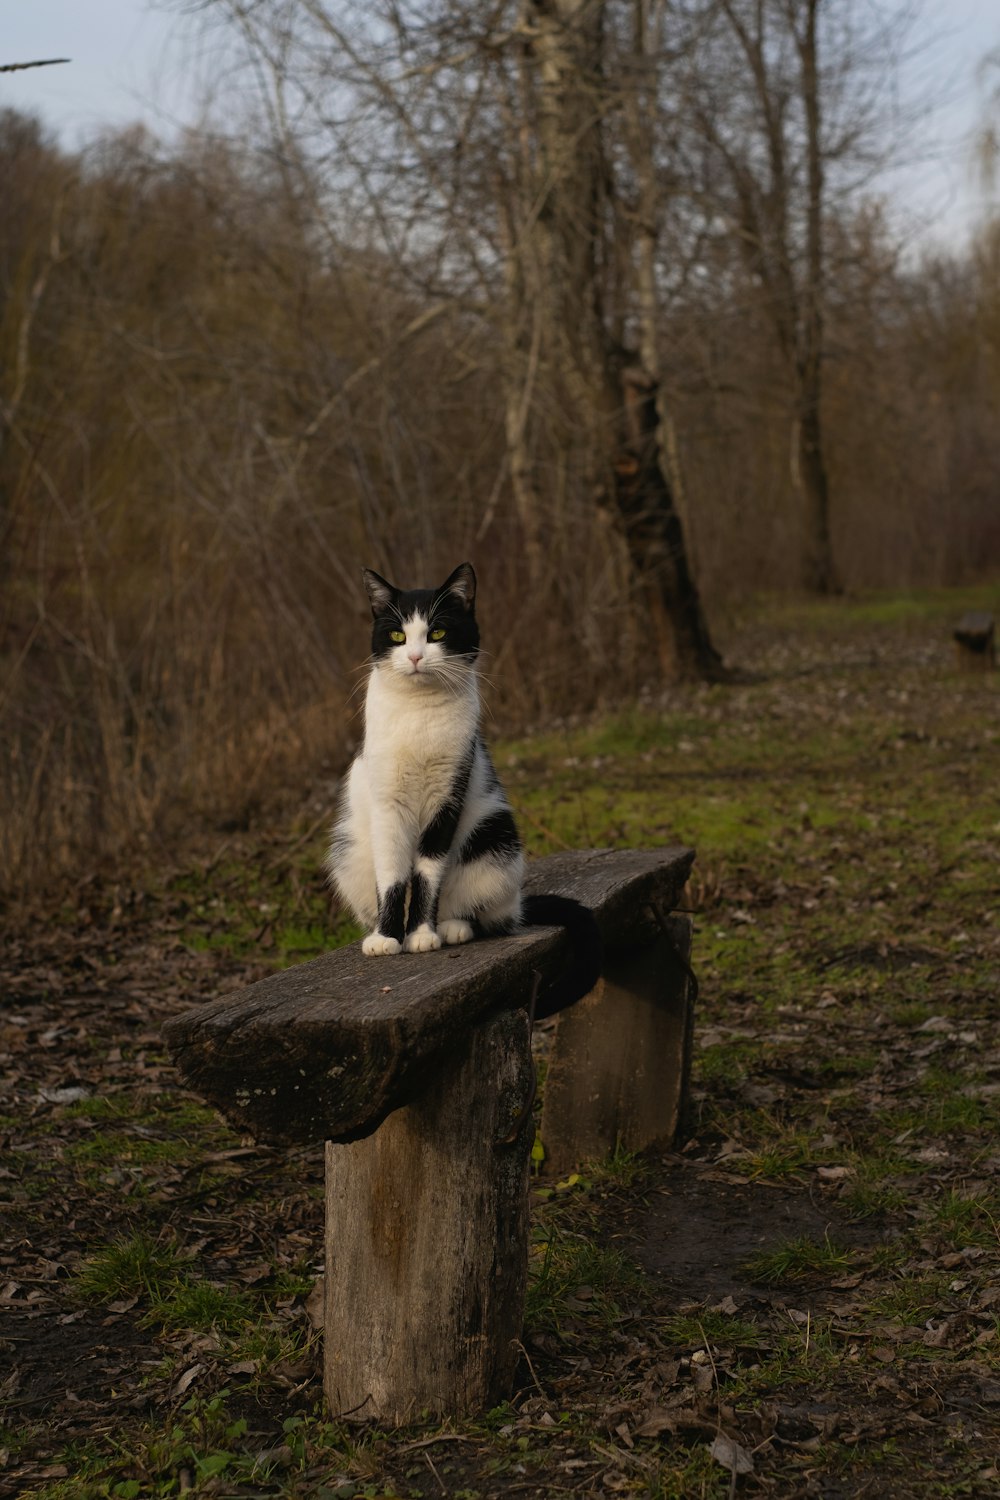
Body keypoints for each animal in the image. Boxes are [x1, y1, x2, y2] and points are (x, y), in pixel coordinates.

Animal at [326, 561, 602, 1020]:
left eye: (437, 632)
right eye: (398, 636)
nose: (415, 657)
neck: (419, 715)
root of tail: (518, 905)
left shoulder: (449, 796)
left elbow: (427, 872)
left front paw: (421, 933)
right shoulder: (389, 805)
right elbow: (394, 875)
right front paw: (388, 937)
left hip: (494, 836)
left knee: (488, 915)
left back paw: (452, 926)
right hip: (351, 852)